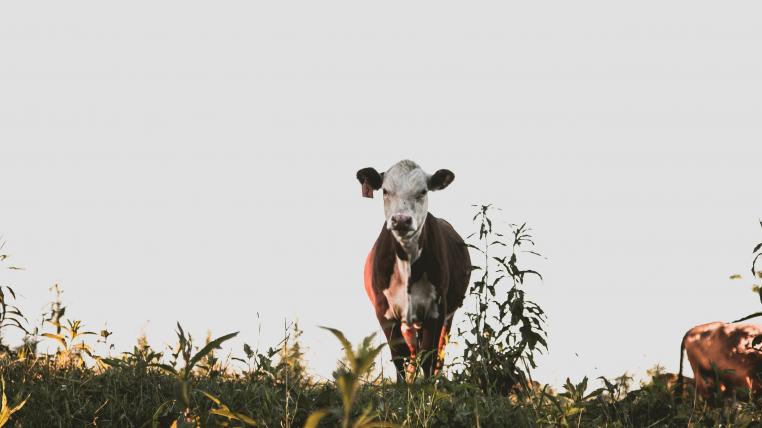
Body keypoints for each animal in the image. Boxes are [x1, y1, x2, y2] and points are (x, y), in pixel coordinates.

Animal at [356, 160, 471, 381]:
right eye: (385, 191)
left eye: (423, 191)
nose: (401, 220)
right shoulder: (385, 312)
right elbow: (399, 357)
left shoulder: (437, 310)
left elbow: (429, 356)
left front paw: (427, 388)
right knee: (412, 353)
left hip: (447, 317)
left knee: (437, 354)